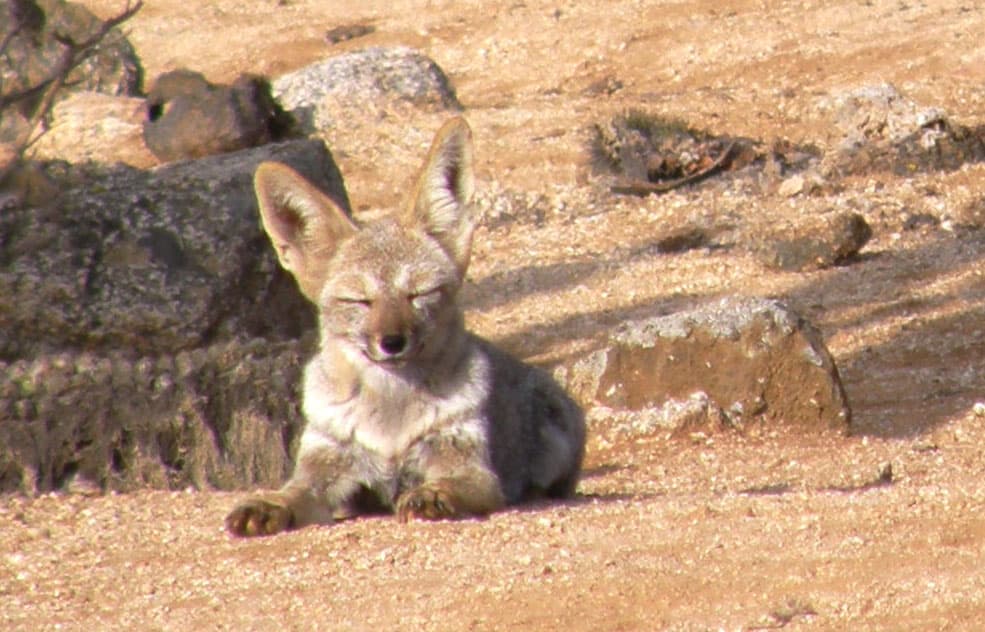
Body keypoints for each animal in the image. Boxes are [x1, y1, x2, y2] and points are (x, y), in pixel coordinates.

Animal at [227, 116, 584, 536]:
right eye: (360, 301)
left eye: (418, 294)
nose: (392, 342)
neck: (390, 412)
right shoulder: (327, 466)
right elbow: (295, 492)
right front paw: (270, 503)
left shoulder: (472, 469)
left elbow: (450, 484)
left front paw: (431, 496)